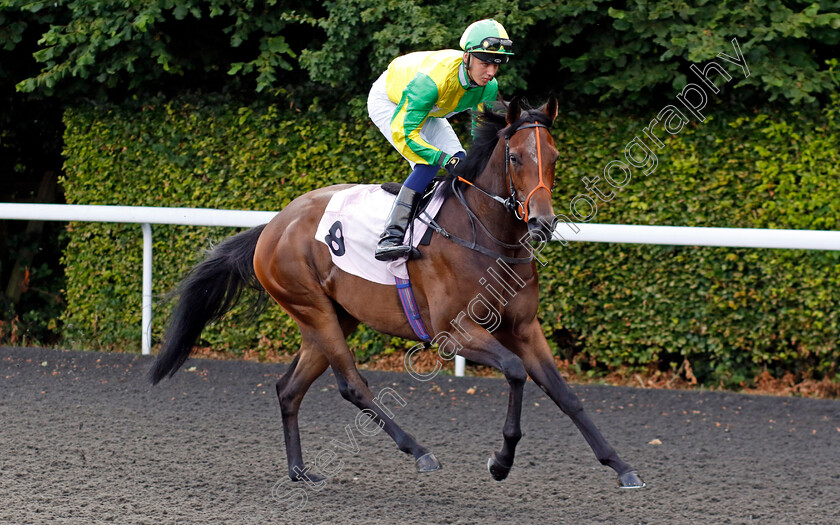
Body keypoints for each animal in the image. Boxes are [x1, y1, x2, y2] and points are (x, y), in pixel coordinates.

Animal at [149, 97, 644, 488]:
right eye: (518, 157)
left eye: (555, 156)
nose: (542, 222)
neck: (486, 236)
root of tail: (273, 225)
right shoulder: (453, 334)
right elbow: (516, 371)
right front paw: (500, 462)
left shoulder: (524, 327)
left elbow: (565, 394)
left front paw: (621, 466)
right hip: (313, 309)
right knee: (352, 385)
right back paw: (419, 451)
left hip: (333, 316)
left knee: (288, 388)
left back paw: (300, 471)